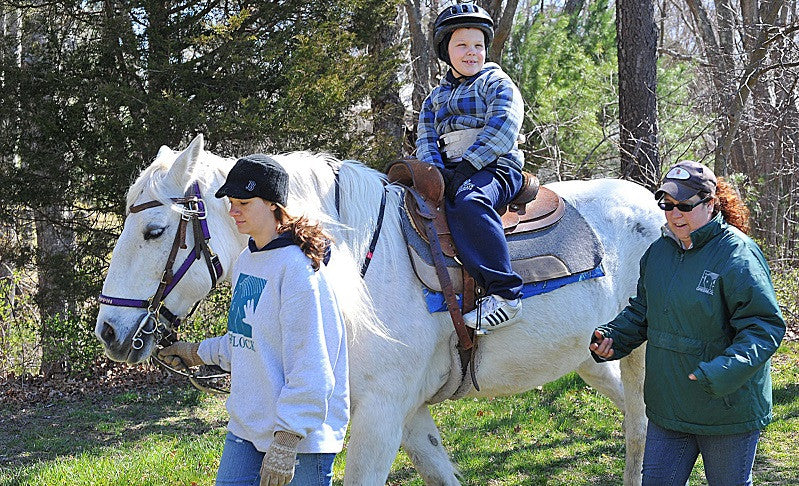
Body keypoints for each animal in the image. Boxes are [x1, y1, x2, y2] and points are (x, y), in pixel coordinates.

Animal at [97, 135, 664, 484]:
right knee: (632, 420)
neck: (359, 272)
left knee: (642, 424)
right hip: (592, 358)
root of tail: (653, 205)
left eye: (154, 232)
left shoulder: (382, 413)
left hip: (641, 355)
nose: (109, 332)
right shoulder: (407, 414)